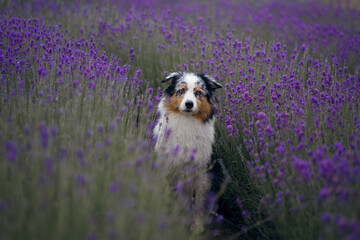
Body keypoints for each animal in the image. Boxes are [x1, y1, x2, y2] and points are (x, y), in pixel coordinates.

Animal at [153, 71, 222, 231]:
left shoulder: (202, 172)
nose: (189, 104)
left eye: (198, 93)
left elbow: (198, 202)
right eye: (181, 90)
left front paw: (197, 226)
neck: (186, 122)